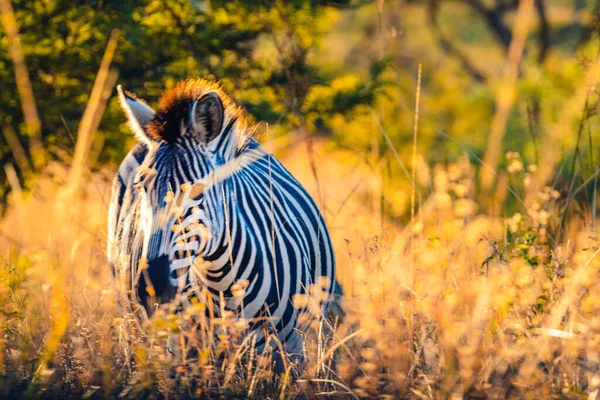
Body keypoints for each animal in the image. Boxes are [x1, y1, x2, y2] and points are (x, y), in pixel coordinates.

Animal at [107, 78, 340, 362]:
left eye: (197, 191)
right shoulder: (185, 349)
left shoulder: (289, 348)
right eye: (141, 187)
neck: (221, 281)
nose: (152, 289)